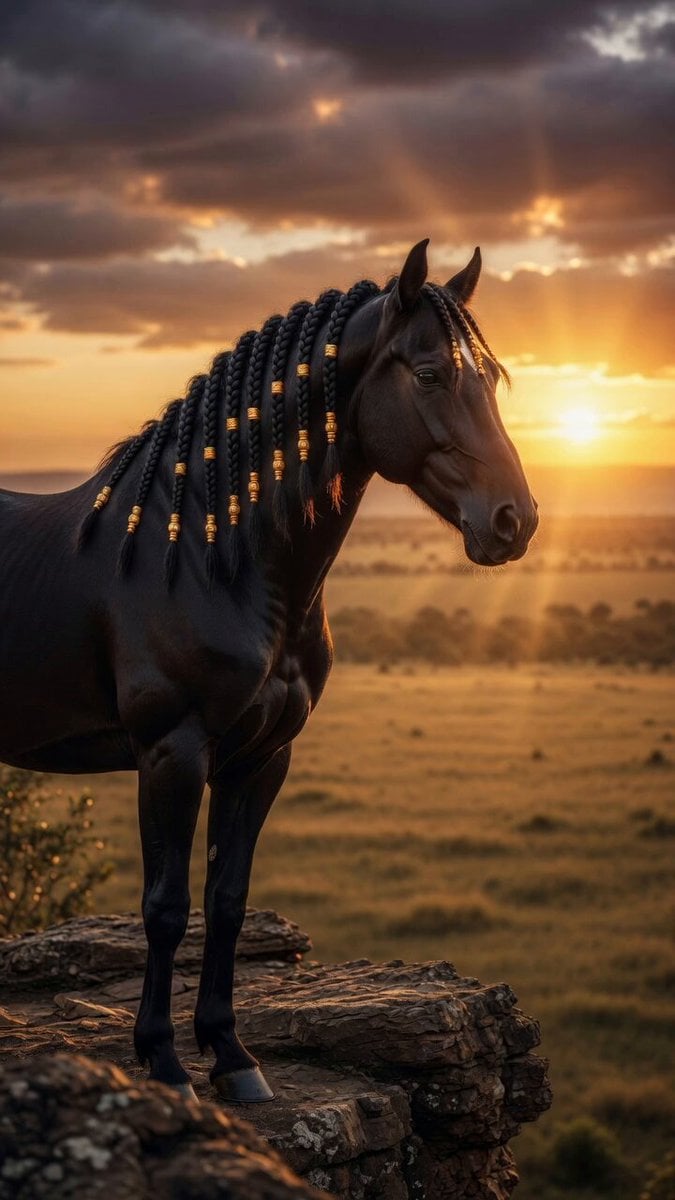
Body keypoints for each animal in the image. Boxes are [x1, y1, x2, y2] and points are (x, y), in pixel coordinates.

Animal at [0, 240, 538, 1103]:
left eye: (488, 378)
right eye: (427, 374)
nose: (513, 520)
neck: (212, 559)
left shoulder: (261, 758)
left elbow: (226, 900)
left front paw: (231, 1055)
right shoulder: (173, 752)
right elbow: (165, 906)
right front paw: (163, 1061)